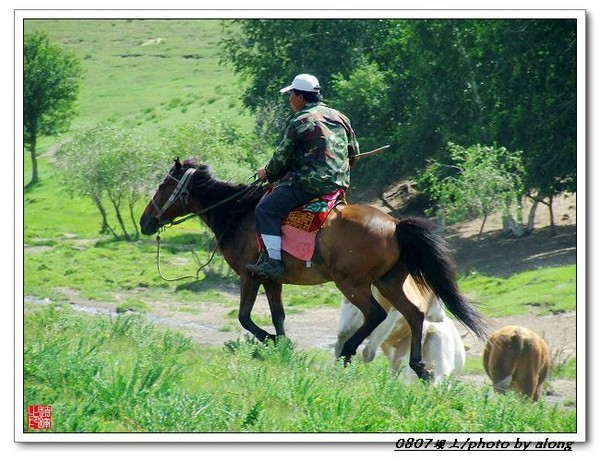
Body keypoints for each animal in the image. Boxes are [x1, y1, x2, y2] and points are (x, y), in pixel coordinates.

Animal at [141, 158, 488, 380]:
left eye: (162, 186)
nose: (145, 221)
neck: (239, 214)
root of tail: (395, 226)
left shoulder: (249, 276)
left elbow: (245, 318)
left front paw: (272, 342)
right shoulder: (271, 279)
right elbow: (278, 316)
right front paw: (282, 348)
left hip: (353, 284)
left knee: (375, 314)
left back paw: (348, 352)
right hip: (388, 282)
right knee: (414, 315)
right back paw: (419, 367)